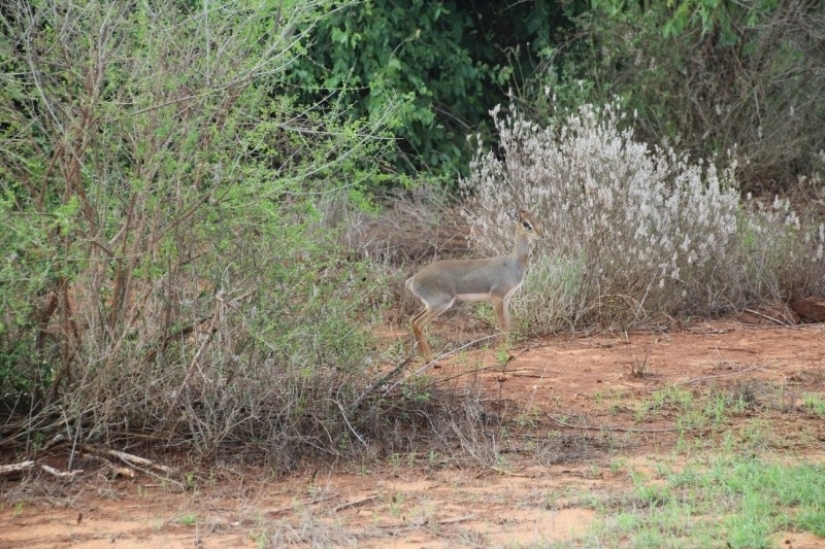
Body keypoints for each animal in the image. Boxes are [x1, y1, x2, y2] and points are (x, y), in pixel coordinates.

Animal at [404, 209, 540, 360]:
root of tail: (413, 280)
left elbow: (508, 324)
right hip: (440, 304)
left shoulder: (506, 299)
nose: (540, 235)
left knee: (413, 320)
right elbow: (502, 325)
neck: (513, 263)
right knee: (418, 324)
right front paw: (502, 355)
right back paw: (431, 360)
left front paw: (508, 354)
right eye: (526, 223)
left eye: (536, 220)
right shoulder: (497, 297)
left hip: (430, 305)